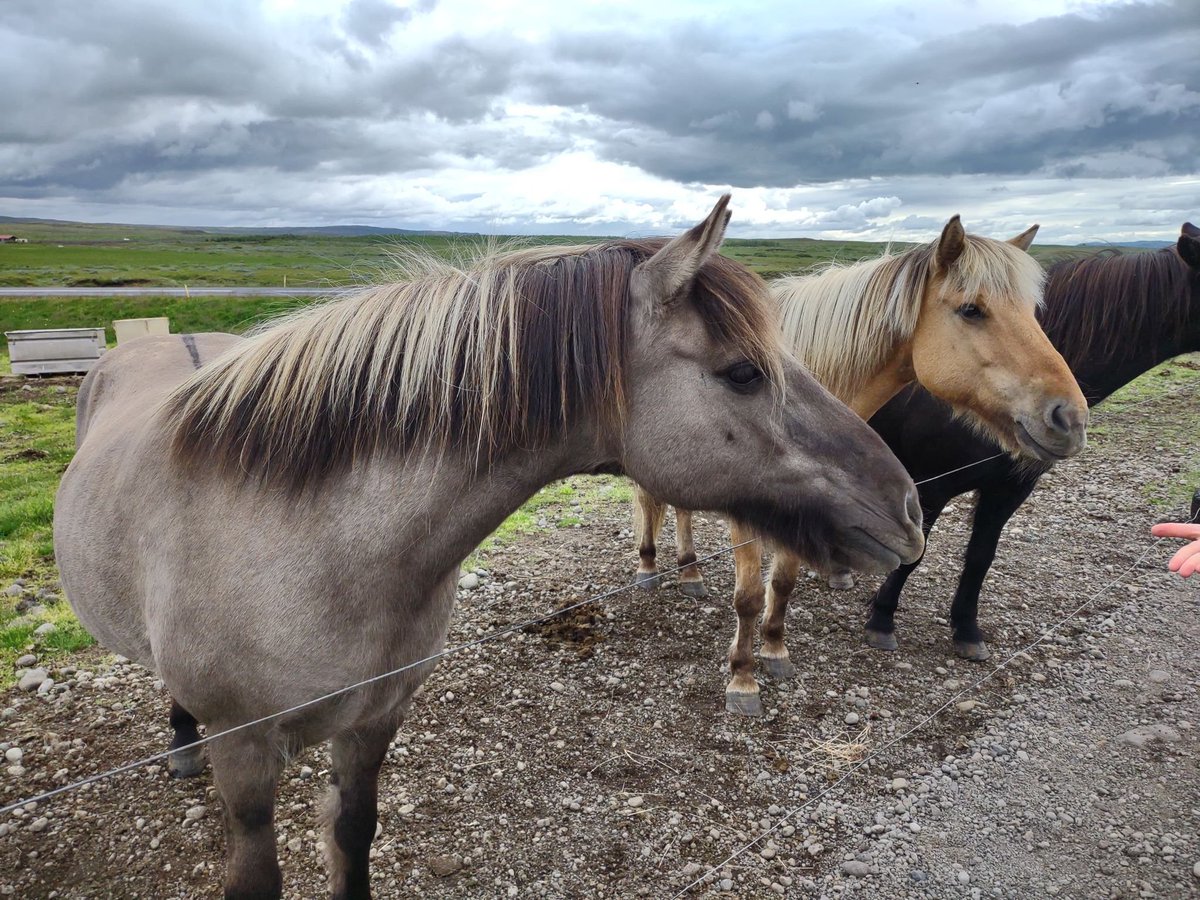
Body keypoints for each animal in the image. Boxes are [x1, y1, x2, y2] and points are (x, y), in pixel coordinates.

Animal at [54, 198, 928, 900]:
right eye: (744, 373)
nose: (909, 507)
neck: (314, 552)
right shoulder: (243, 754)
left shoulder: (374, 724)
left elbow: (352, 836)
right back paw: (180, 746)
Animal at [632, 216, 1089, 716]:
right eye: (972, 310)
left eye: (1031, 310)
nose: (1069, 417)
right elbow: (749, 596)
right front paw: (743, 678)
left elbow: (784, 582)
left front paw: (774, 649)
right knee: (650, 502)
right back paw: (651, 567)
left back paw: (690, 571)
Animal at [860, 222, 1200, 659]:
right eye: (972, 311)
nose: (1069, 420)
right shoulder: (932, 487)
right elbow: (914, 555)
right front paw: (882, 619)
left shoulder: (1010, 490)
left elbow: (981, 558)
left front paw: (967, 630)